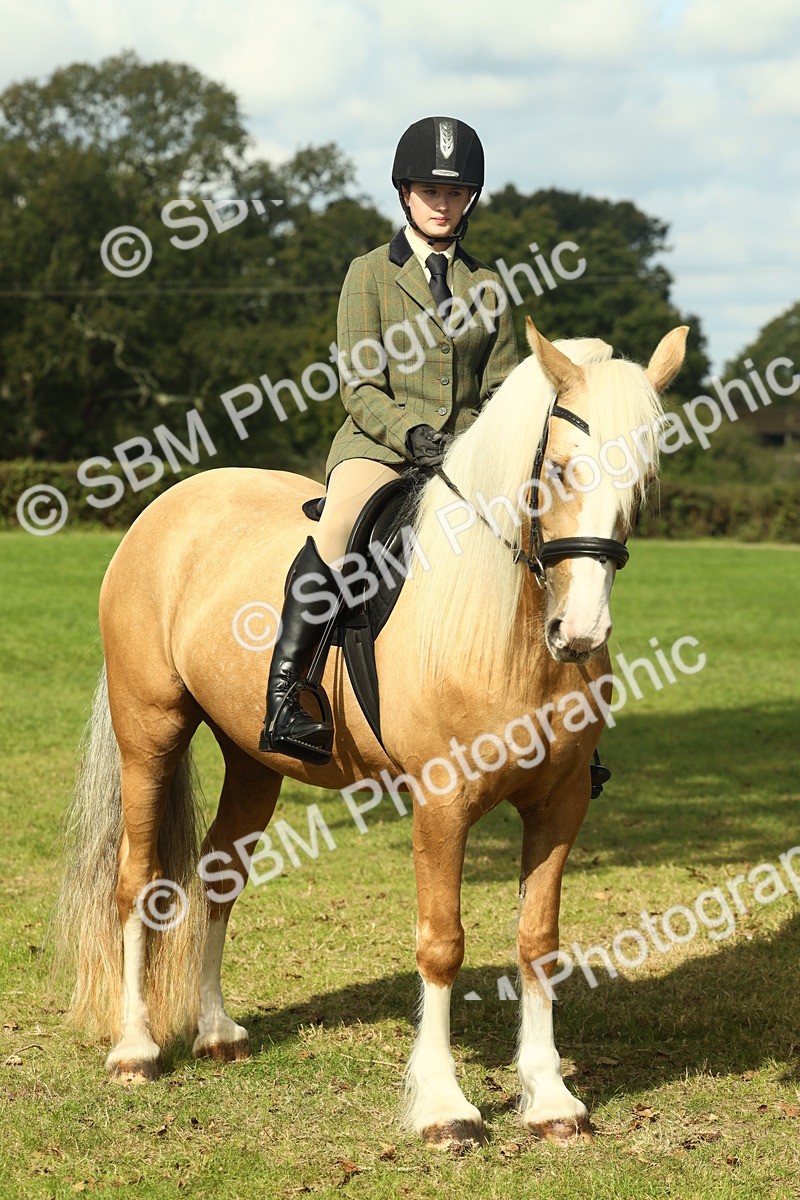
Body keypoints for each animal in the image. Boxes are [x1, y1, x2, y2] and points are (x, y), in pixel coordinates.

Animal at [52, 318, 687, 1150]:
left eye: (643, 478)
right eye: (558, 468)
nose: (578, 633)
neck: (503, 624)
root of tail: (167, 506)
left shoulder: (559, 805)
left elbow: (538, 942)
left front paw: (551, 1099)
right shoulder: (442, 806)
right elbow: (442, 944)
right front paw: (445, 1109)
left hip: (253, 759)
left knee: (219, 874)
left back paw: (218, 1032)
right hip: (148, 733)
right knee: (136, 883)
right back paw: (135, 1050)